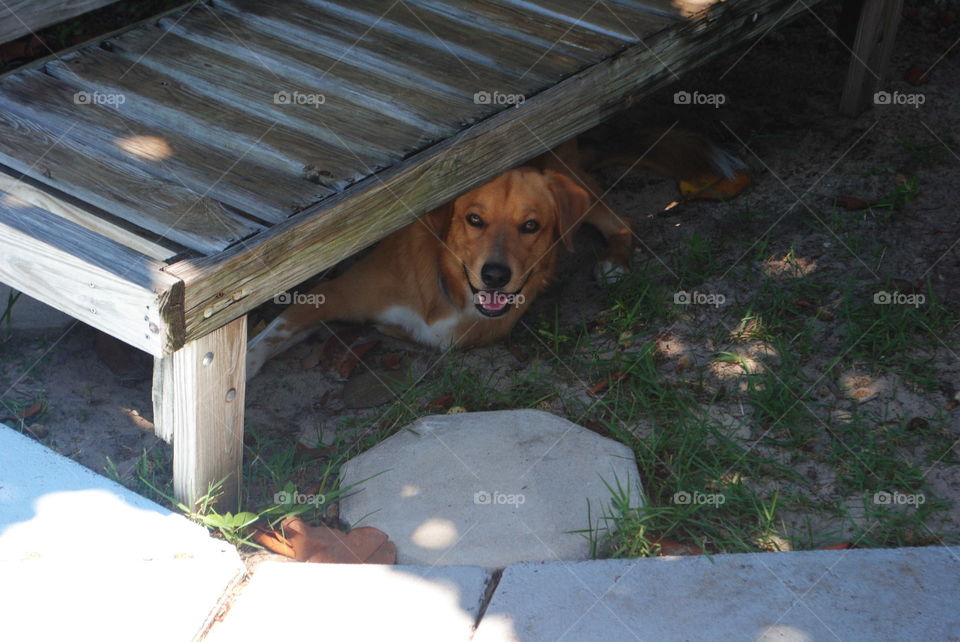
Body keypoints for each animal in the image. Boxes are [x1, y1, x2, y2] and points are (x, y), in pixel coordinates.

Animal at [248, 132, 744, 378]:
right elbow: (270, 335)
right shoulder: (331, 294)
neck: (446, 289)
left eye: (531, 226)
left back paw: (615, 263)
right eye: (474, 219)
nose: (495, 275)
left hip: (575, 183)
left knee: (623, 221)